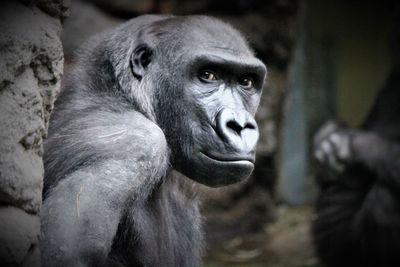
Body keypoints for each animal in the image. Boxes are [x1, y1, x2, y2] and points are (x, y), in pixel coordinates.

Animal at [40, 15, 266, 267]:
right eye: (208, 75)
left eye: (246, 82)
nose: (239, 125)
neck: (123, 94)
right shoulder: (134, 143)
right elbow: (65, 251)